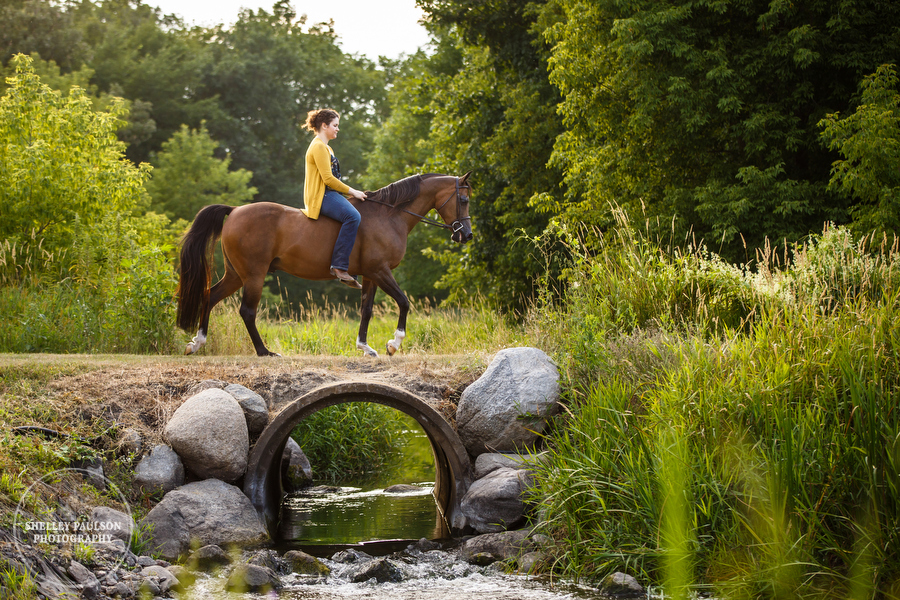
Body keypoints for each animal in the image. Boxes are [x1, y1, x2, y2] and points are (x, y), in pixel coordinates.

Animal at [173, 171, 474, 356]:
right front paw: (394, 344)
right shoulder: (380, 270)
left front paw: (365, 347)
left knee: (210, 296)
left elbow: (366, 310)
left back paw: (196, 343)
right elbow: (404, 302)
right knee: (247, 311)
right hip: (254, 275)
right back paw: (264, 352)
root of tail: (235, 210)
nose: (467, 235)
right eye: (463, 199)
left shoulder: (370, 275)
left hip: (237, 275)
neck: (389, 215)